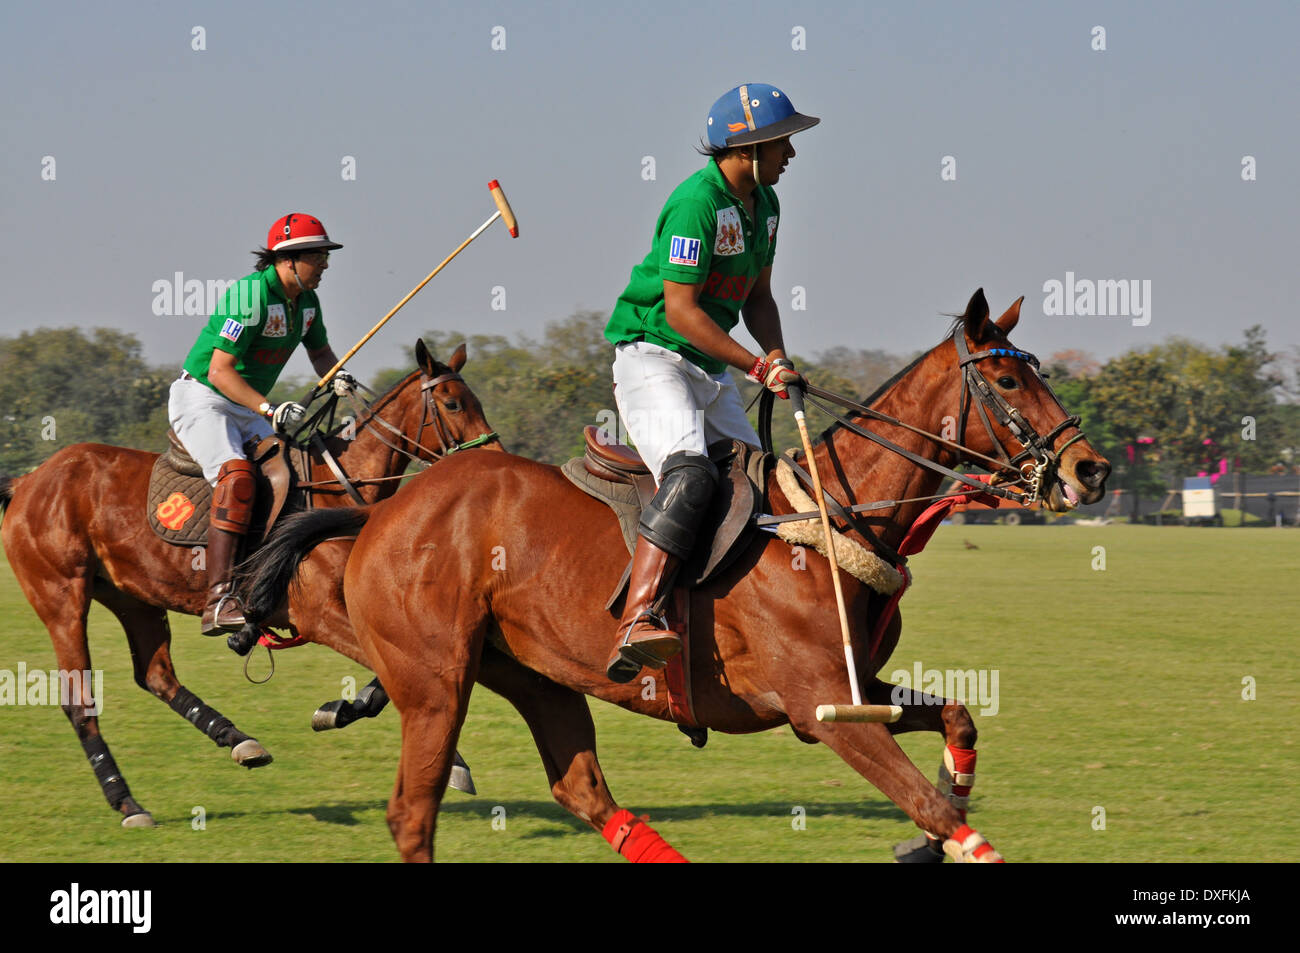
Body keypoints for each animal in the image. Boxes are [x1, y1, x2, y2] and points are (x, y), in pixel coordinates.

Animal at [0, 340, 496, 826]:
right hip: (62, 596)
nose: (491, 458)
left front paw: (347, 716)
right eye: (453, 403)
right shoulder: (317, 615)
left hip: (134, 597)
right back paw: (127, 803)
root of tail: (27, 480)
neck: (332, 486)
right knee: (78, 699)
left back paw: (239, 741)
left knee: (157, 676)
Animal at [241, 291, 1107, 863]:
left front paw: (926, 839)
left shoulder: (855, 689)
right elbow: (931, 802)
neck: (830, 518)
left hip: (535, 673)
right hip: (434, 681)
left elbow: (959, 721)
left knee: (584, 790)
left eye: (1035, 371)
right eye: (1007, 382)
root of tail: (379, 514)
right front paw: (941, 835)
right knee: (412, 813)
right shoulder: (819, 706)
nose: (1090, 469)